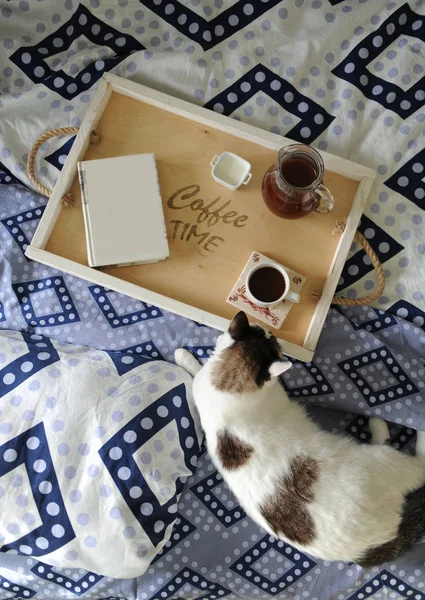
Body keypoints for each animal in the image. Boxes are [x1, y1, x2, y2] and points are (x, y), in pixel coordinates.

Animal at [174, 310, 424, 568]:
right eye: (268, 337)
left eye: (264, 331)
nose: (273, 333)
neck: (230, 388)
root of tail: (369, 548)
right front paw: (186, 356)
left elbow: (199, 370)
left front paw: (183, 356)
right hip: (383, 460)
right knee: (419, 466)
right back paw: (396, 424)